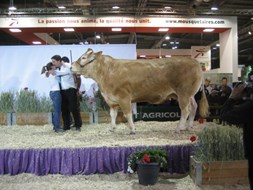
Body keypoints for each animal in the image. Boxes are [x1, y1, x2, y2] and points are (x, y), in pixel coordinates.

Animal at [71, 47, 208, 134]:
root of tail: (193, 61)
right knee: (194, 107)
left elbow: (127, 114)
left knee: (185, 110)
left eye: (83, 57)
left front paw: (132, 129)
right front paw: (112, 128)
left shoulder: (124, 97)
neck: (106, 72)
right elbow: (112, 114)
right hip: (189, 95)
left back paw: (179, 128)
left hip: (183, 93)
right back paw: (188, 127)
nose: (71, 66)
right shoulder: (112, 100)